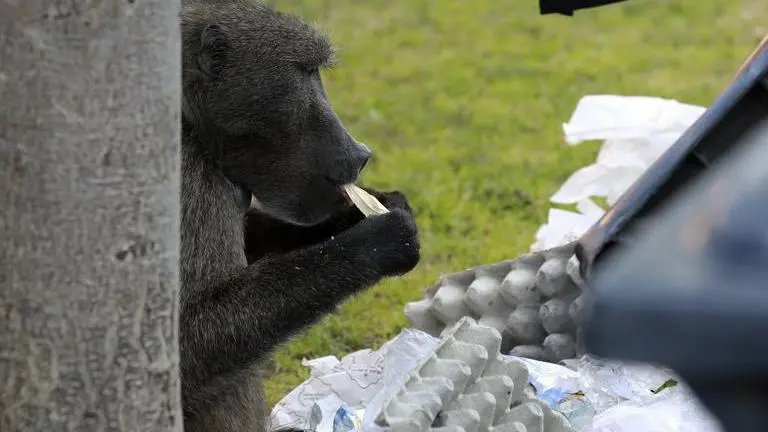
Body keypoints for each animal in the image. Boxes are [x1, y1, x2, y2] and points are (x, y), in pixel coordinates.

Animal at [179, 1, 421, 431]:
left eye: (316, 71)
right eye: (304, 72)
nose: (361, 153)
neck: (192, 122)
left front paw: (368, 208)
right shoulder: (188, 177)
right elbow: (188, 339)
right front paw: (379, 241)